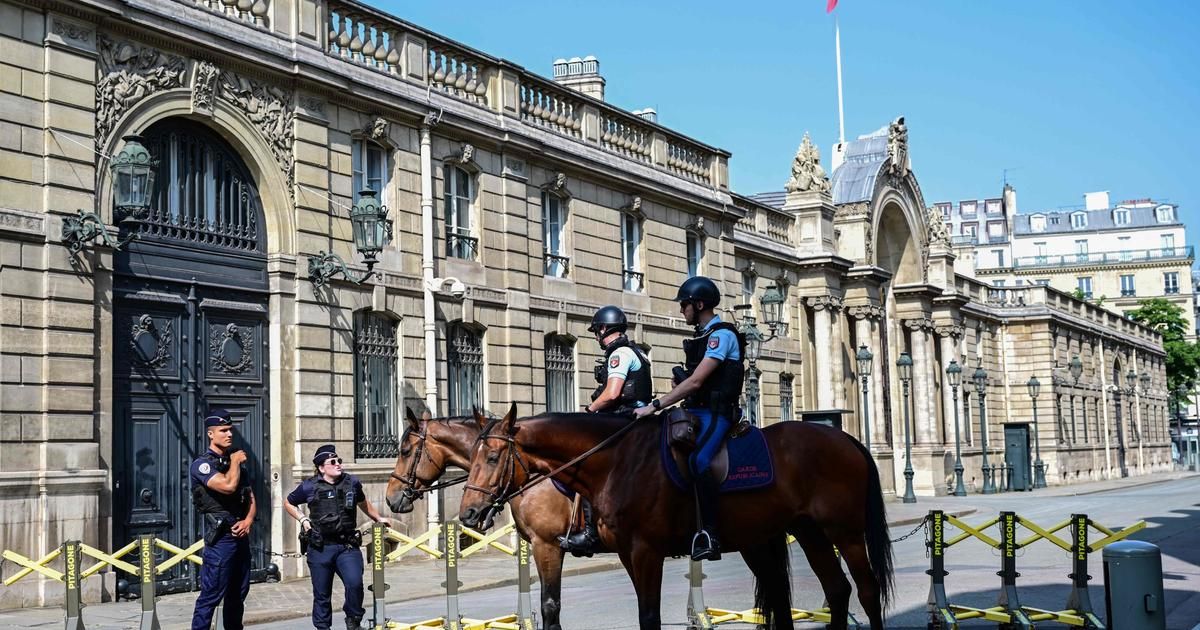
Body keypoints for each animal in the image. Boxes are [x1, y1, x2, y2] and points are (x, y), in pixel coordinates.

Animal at [456, 403, 892, 628]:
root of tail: (846, 438)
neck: (616, 460)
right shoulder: (627, 554)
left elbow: (645, 614)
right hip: (802, 533)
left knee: (866, 590)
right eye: (471, 458)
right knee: (833, 591)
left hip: (845, 532)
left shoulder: (638, 551)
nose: (468, 514)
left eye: (492, 457)